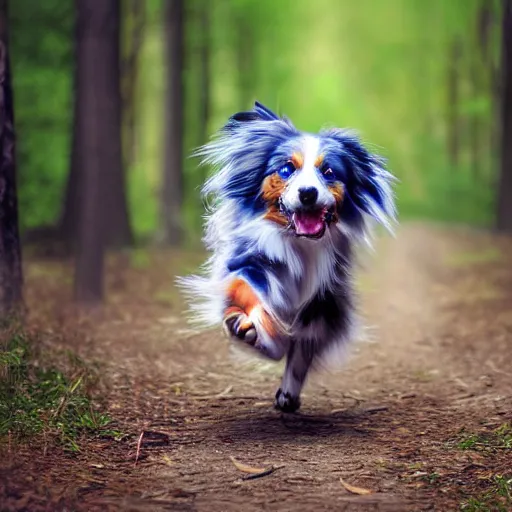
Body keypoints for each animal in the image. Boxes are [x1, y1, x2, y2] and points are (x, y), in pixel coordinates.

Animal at [178, 101, 398, 412]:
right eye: (286, 169)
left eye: (328, 171)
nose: (307, 193)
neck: (299, 244)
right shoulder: (249, 264)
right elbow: (250, 295)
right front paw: (258, 334)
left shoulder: (323, 302)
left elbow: (301, 352)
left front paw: (288, 391)